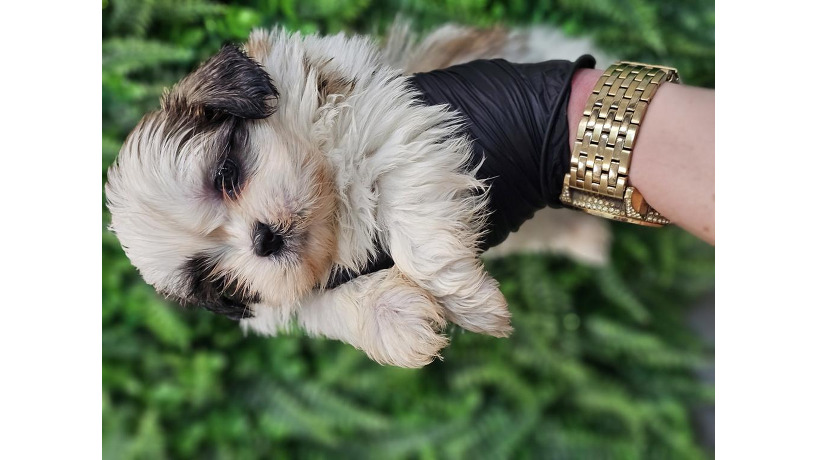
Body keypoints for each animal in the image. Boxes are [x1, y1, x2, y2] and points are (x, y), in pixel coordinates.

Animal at [105, 22, 611, 368]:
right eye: (216, 277)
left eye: (226, 173)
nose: (262, 239)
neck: (334, 210)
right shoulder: (297, 293)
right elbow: (325, 305)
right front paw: (399, 323)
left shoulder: (392, 133)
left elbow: (418, 238)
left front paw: (471, 303)